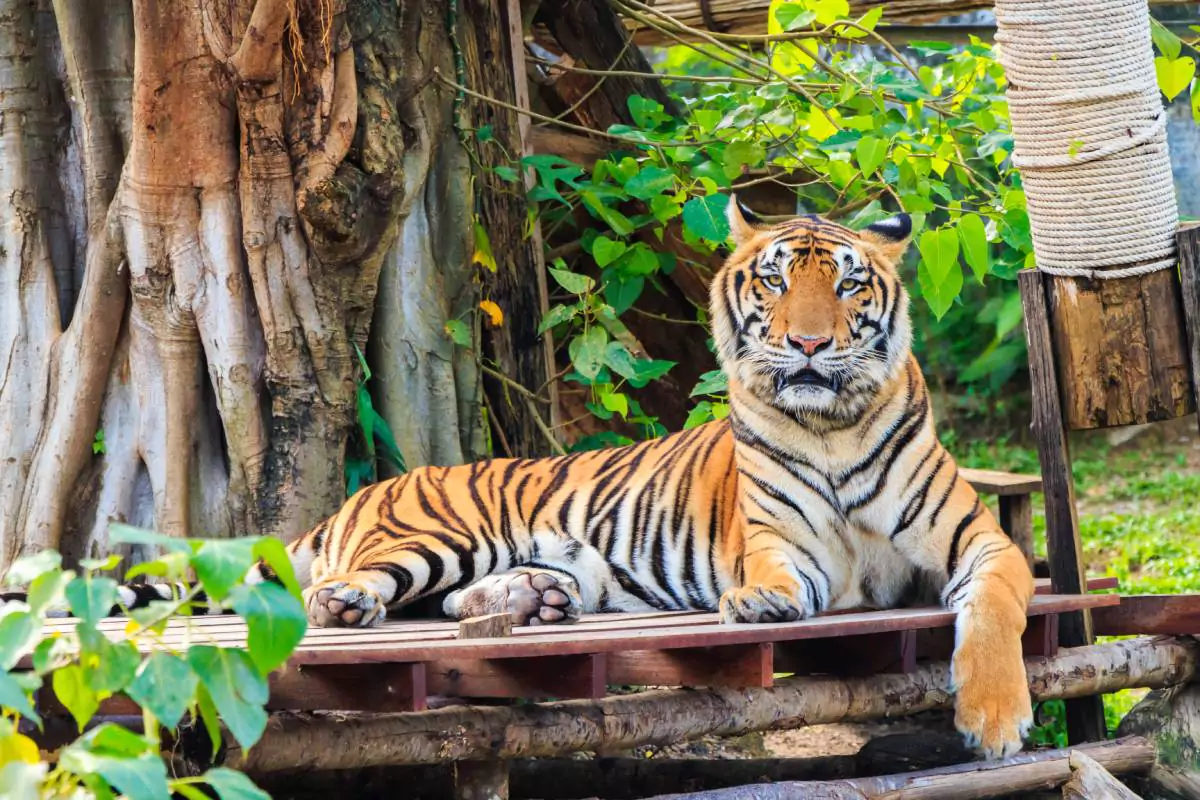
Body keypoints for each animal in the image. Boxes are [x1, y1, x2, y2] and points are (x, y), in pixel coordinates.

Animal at [4, 198, 1035, 758]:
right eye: (775, 282)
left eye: (850, 285)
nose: (810, 346)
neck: (829, 425)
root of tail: (358, 495)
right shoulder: (783, 543)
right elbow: (779, 575)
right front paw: (761, 606)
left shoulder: (979, 542)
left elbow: (997, 611)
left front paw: (993, 720)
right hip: (429, 537)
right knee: (364, 588)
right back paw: (356, 604)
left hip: (537, 561)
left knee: (464, 605)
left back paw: (528, 604)